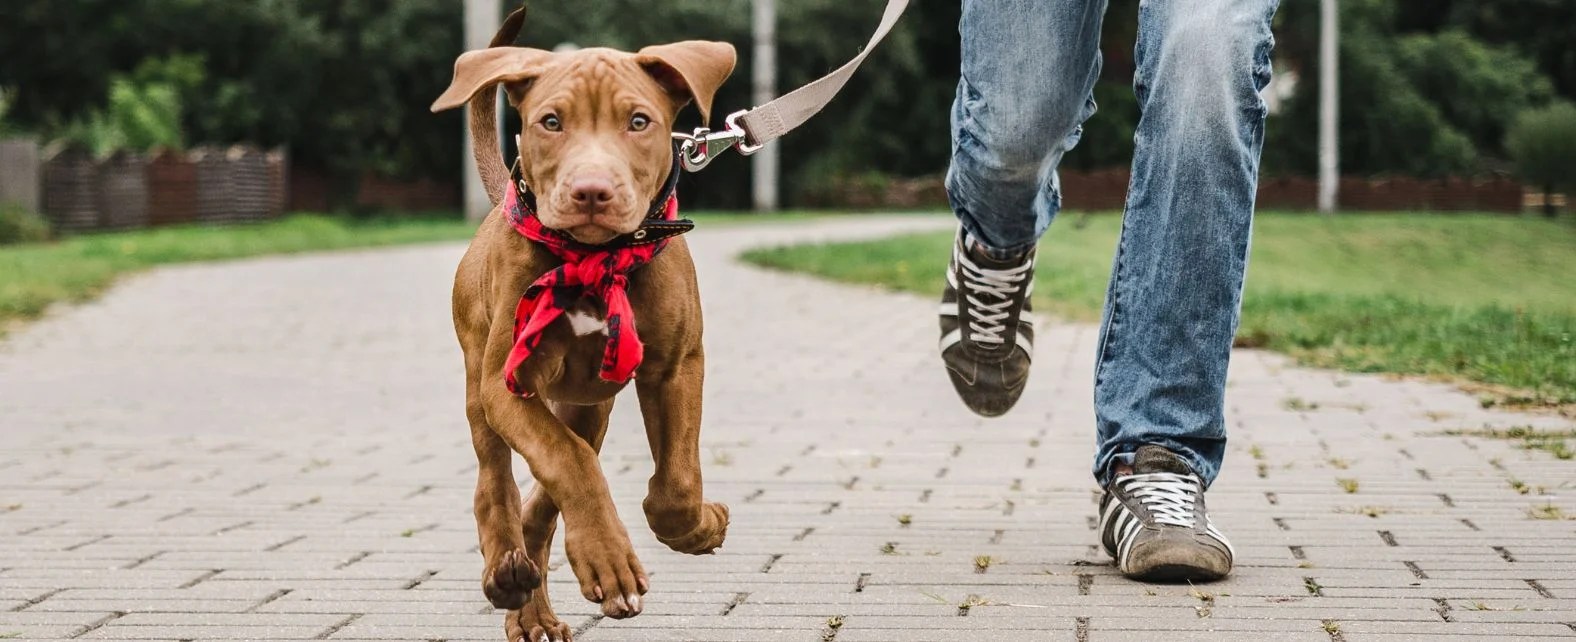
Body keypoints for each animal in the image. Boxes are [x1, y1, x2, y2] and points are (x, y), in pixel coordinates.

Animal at [431, 11, 737, 642]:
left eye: (639, 122)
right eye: (551, 122)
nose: (591, 191)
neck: (595, 257)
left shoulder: (676, 367)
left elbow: (675, 484)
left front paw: (700, 527)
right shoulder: (507, 382)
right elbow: (566, 462)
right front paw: (608, 559)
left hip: (590, 403)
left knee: (550, 492)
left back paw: (530, 599)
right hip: (479, 381)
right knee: (496, 482)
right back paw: (506, 569)